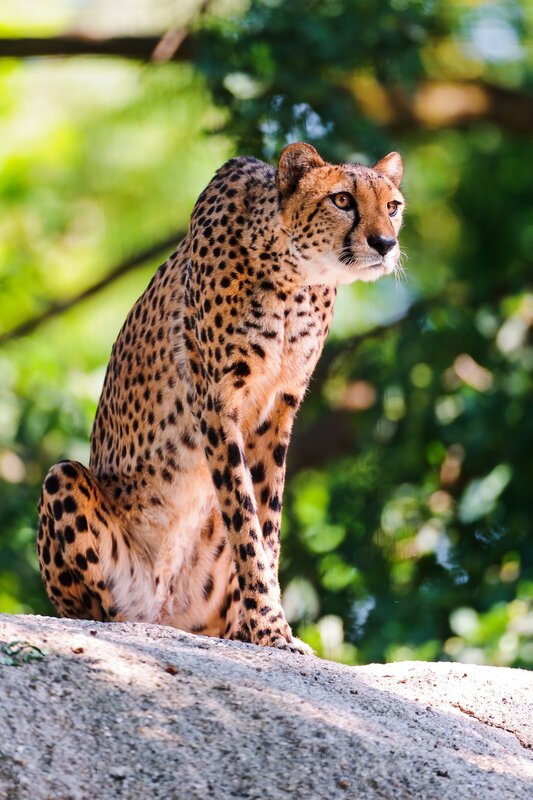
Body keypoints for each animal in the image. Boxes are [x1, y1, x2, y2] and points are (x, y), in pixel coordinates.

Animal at [37, 142, 405, 654]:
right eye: (343, 200)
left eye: (393, 207)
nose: (385, 243)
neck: (296, 275)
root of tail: (167, 613)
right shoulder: (217, 404)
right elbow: (244, 520)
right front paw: (270, 627)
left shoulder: (278, 410)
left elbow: (266, 525)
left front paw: (259, 628)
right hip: (66, 483)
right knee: (96, 610)